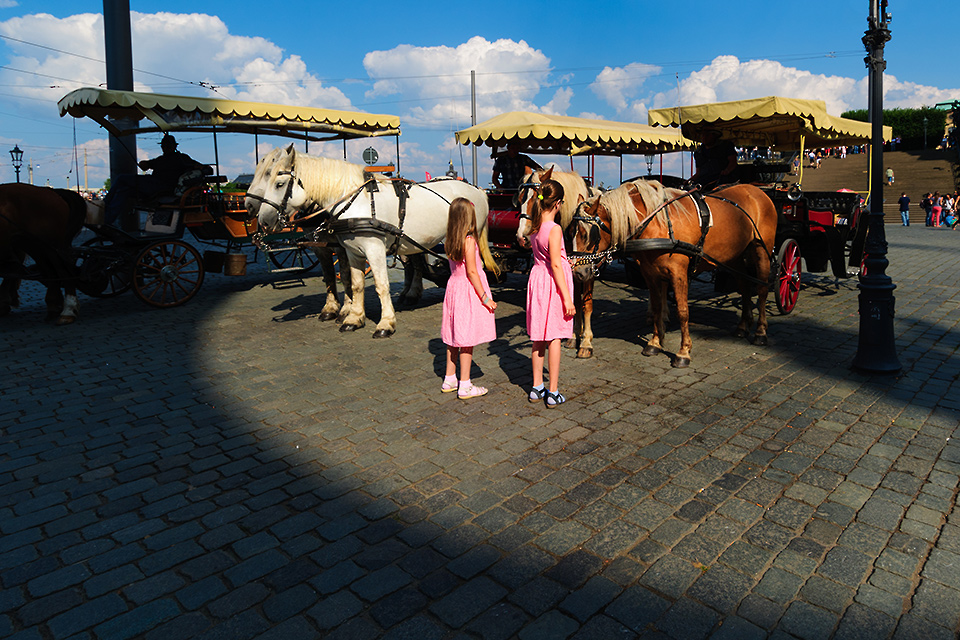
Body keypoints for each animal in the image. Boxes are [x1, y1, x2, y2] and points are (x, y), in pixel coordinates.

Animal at [0, 184, 90, 324]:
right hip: (34, 244)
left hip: (50, 245)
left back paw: (68, 310)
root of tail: (49, 191)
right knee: (48, 269)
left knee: (63, 269)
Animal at [248, 143, 496, 338]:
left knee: (476, 266)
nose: (262, 218)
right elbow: (354, 283)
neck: (353, 200)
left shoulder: (373, 249)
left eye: (279, 184)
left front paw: (385, 323)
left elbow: (380, 284)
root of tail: (477, 189)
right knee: (416, 264)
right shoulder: (351, 251)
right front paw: (353, 317)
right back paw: (411, 294)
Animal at [516, 165, 600, 358]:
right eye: (519, 199)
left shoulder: (588, 269)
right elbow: (575, 300)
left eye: (536, 198)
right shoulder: (572, 269)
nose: (521, 237)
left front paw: (586, 341)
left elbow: (587, 305)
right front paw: (574, 336)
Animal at [572, 180, 776, 368]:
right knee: (744, 286)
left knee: (762, 289)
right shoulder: (649, 272)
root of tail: (756, 191)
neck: (658, 223)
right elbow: (656, 307)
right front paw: (655, 343)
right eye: (571, 232)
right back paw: (743, 325)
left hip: (762, 250)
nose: (578, 272)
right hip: (735, 255)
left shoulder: (678, 273)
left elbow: (683, 311)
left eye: (589, 234)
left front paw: (683, 352)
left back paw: (760, 332)